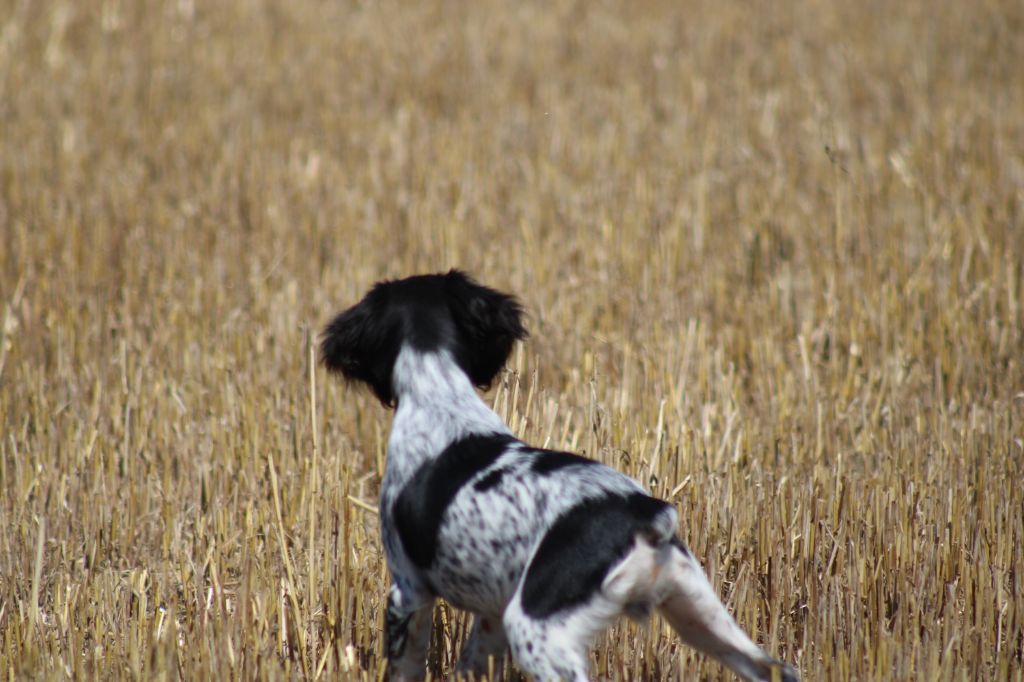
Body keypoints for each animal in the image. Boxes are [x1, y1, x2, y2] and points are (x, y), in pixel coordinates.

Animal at [319, 270, 798, 679]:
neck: (439, 394)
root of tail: (644, 518)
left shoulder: (408, 590)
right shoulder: (492, 614)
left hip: (539, 630)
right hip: (701, 614)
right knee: (777, 669)